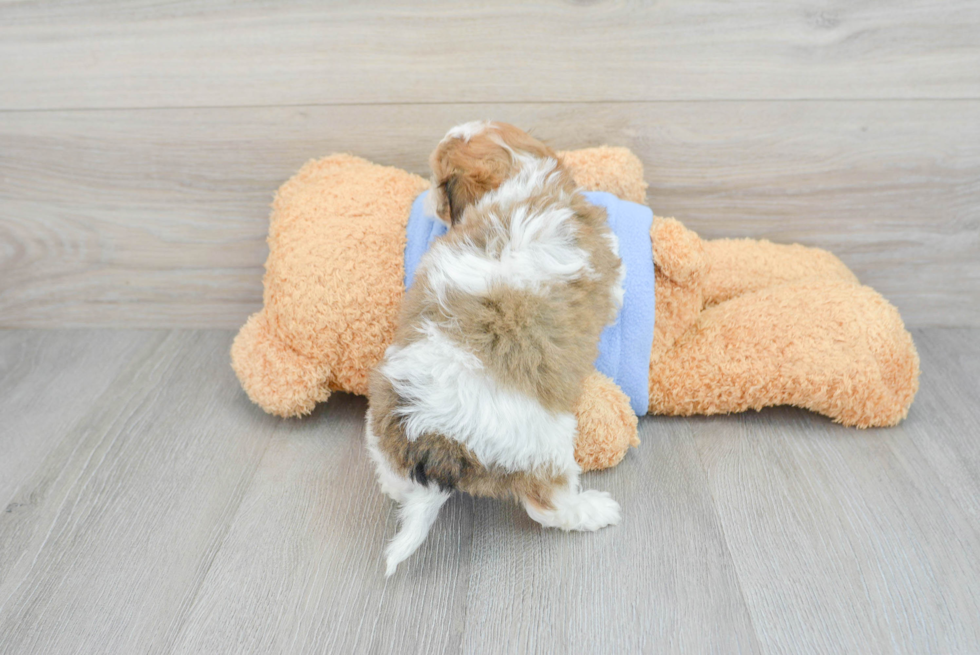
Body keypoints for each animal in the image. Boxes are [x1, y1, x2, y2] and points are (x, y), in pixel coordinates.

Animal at [364, 121, 624, 576]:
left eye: (437, 181)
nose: (427, 201)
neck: (523, 176)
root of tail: (435, 433)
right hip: (545, 445)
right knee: (546, 504)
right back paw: (594, 510)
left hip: (380, 418)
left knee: (391, 473)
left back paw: (396, 489)